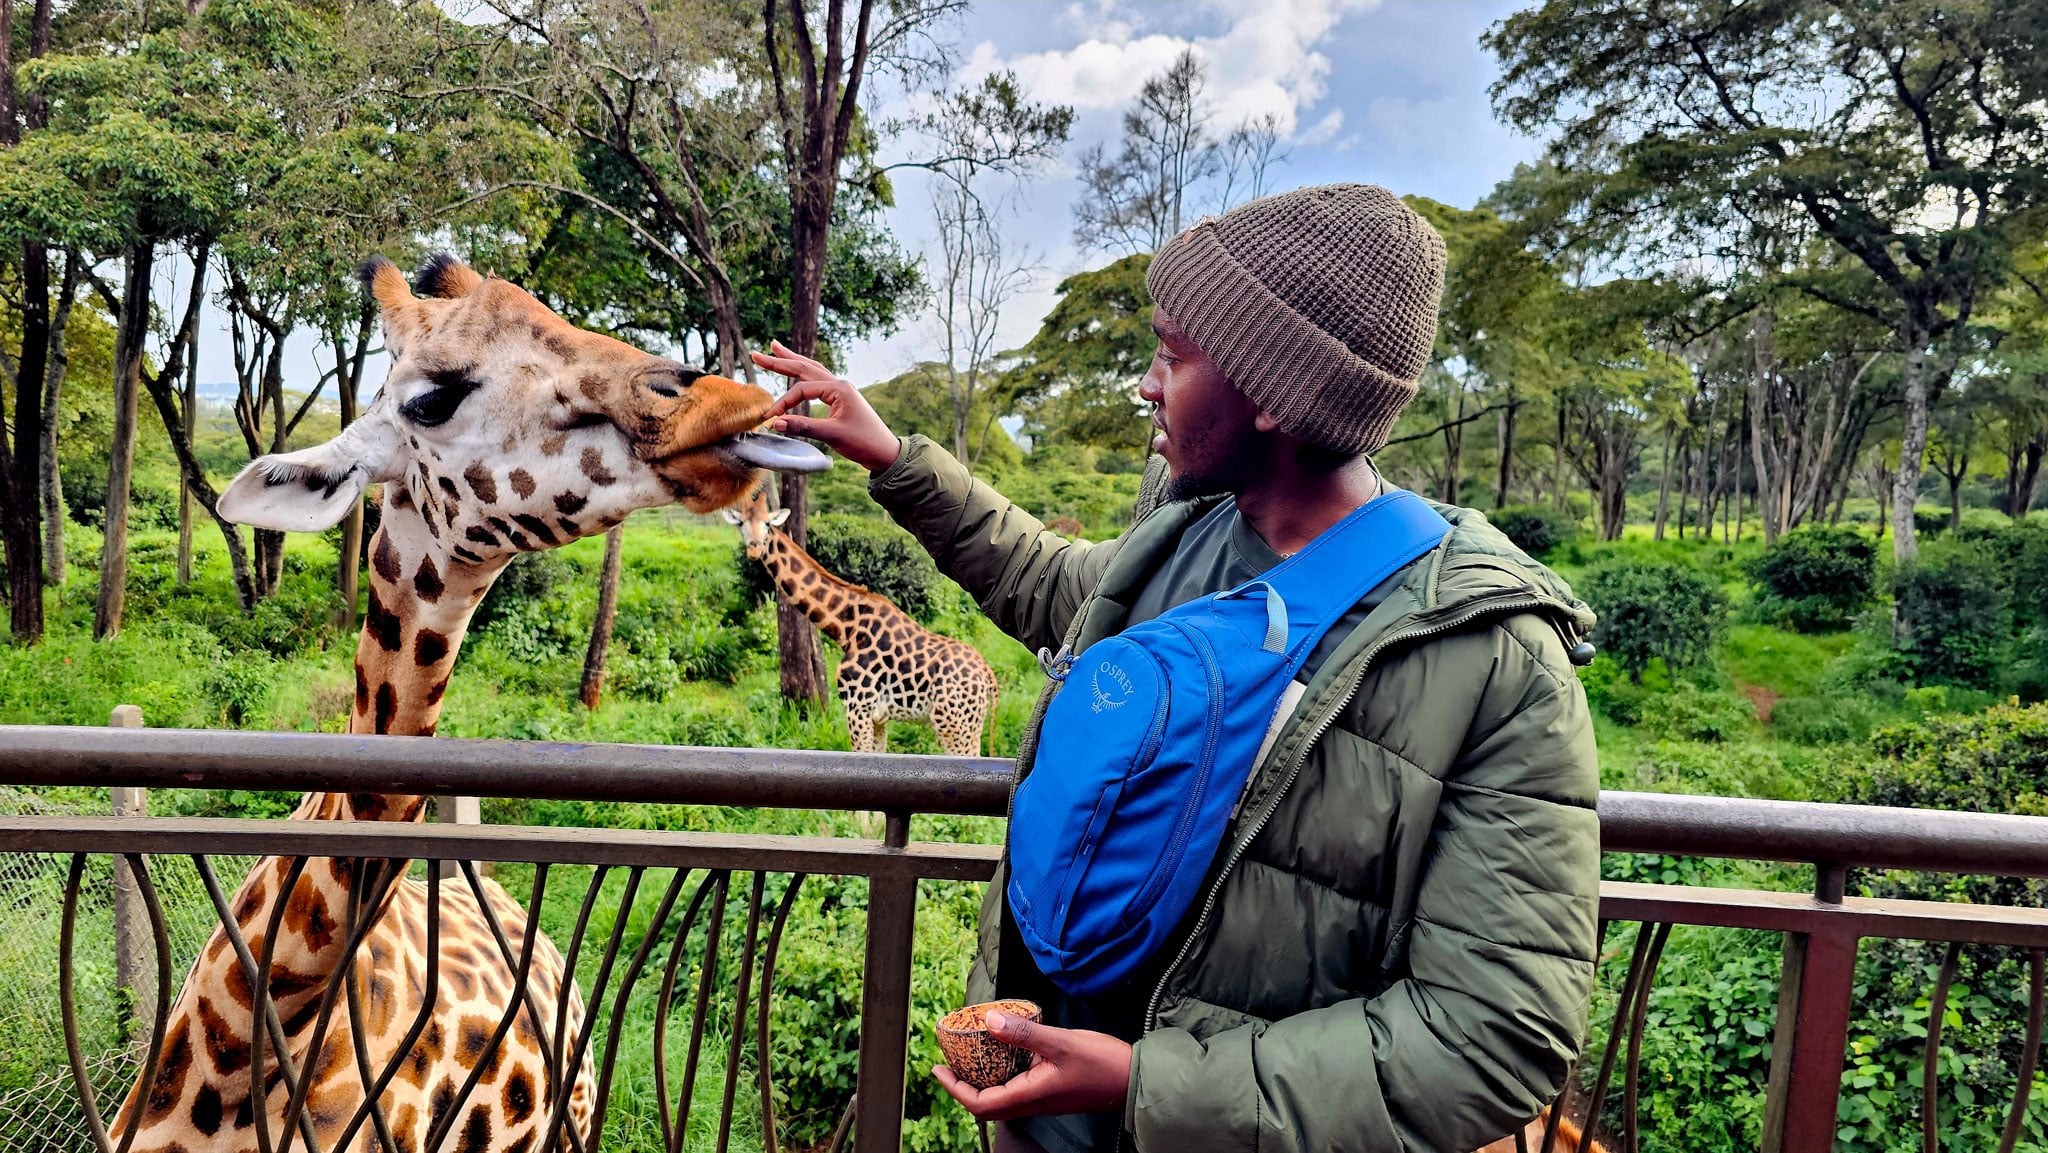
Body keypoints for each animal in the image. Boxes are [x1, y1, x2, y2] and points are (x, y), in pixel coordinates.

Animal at [726, 497, 1000, 758]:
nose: (754, 549)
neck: (846, 626)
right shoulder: (879, 717)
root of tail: (988, 677)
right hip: (971, 723)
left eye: (767, 524)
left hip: (952, 723)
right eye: (741, 523)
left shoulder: (857, 706)